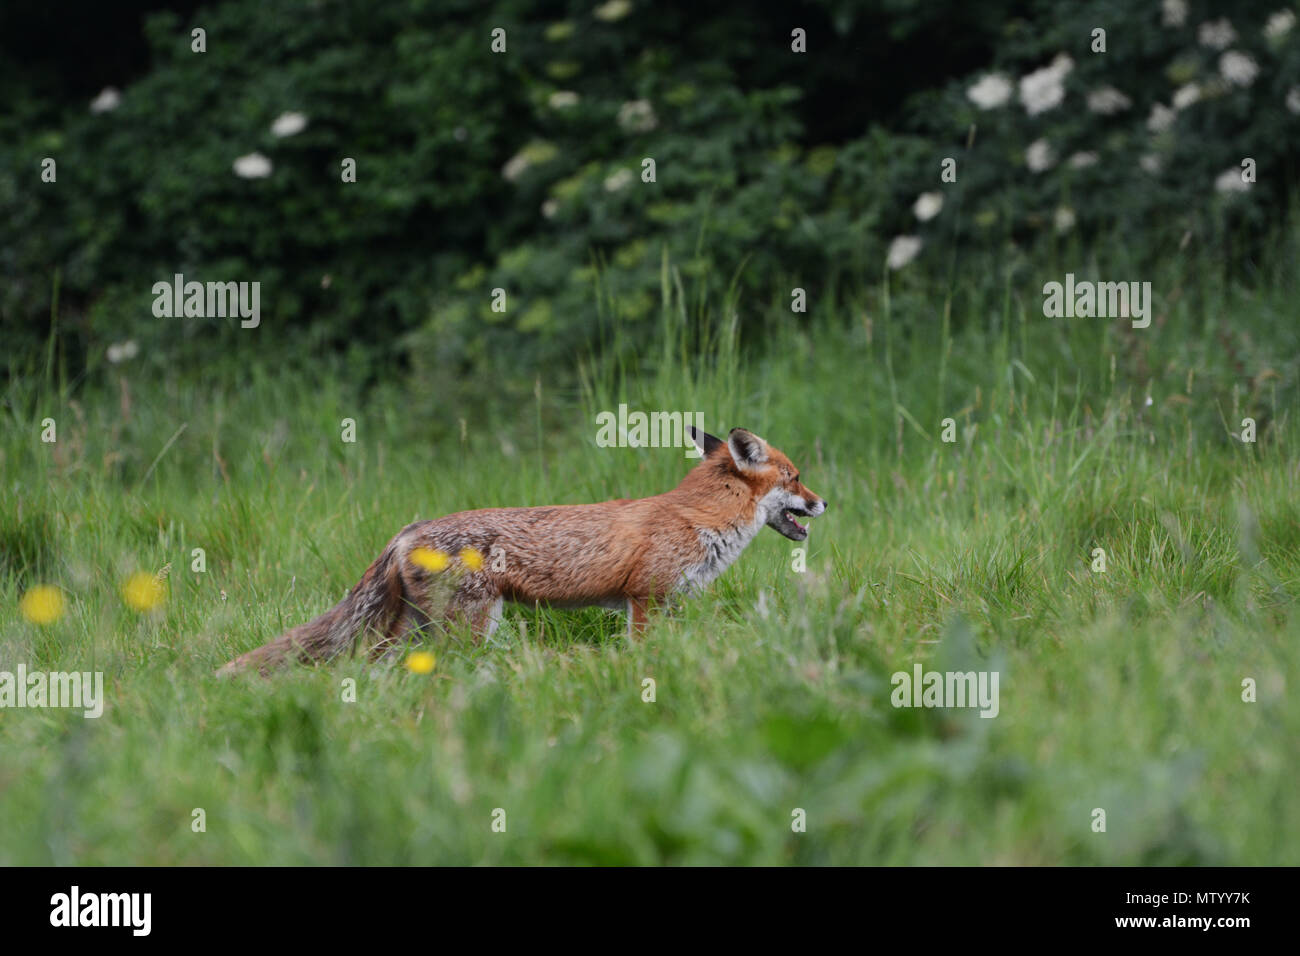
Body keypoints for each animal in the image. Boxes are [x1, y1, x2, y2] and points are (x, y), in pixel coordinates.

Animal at [217, 426, 826, 675]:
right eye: (796, 477)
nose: (824, 503)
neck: (698, 518)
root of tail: (408, 529)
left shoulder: (671, 604)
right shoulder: (645, 600)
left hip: (414, 631)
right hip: (468, 628)